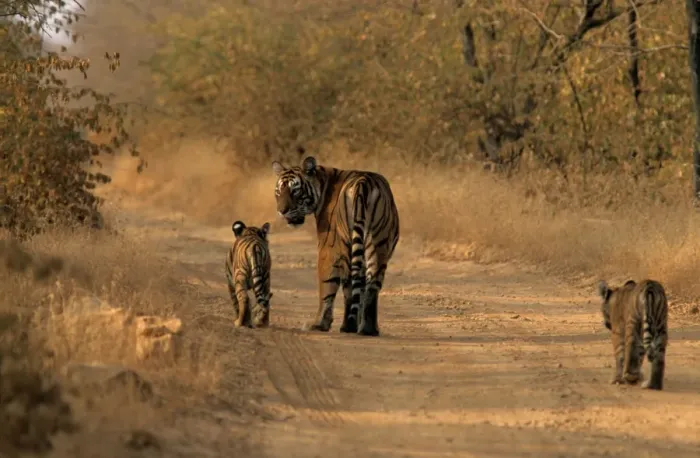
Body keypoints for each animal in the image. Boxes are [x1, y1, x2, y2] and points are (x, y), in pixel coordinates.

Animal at [272, 156, 400, 337]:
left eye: (295, 191)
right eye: (279, 191)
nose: (282, 211)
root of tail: (364, 182)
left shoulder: (328, 248)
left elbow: (326, 286)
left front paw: (319, 324)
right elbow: (361, 291)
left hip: (346, 243)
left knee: (349, 284)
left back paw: (348, 326)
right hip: (378, 244)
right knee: (371, 284)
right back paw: (368, 329)